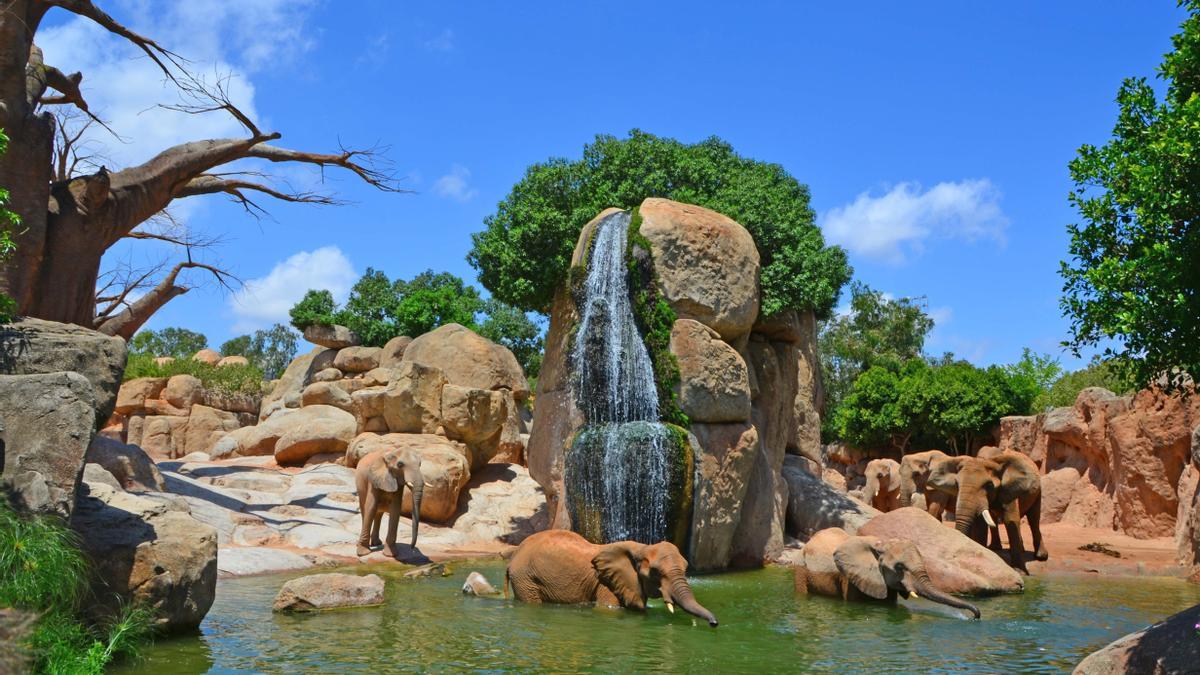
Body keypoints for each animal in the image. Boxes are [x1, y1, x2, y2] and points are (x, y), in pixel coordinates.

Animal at [501, 526, 715, 624]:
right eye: (655, 572)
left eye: (686, 569)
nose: (714, 623)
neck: (641, 547)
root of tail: (514, 555)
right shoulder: (606, 583)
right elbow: (607, 609)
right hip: (525, 578)